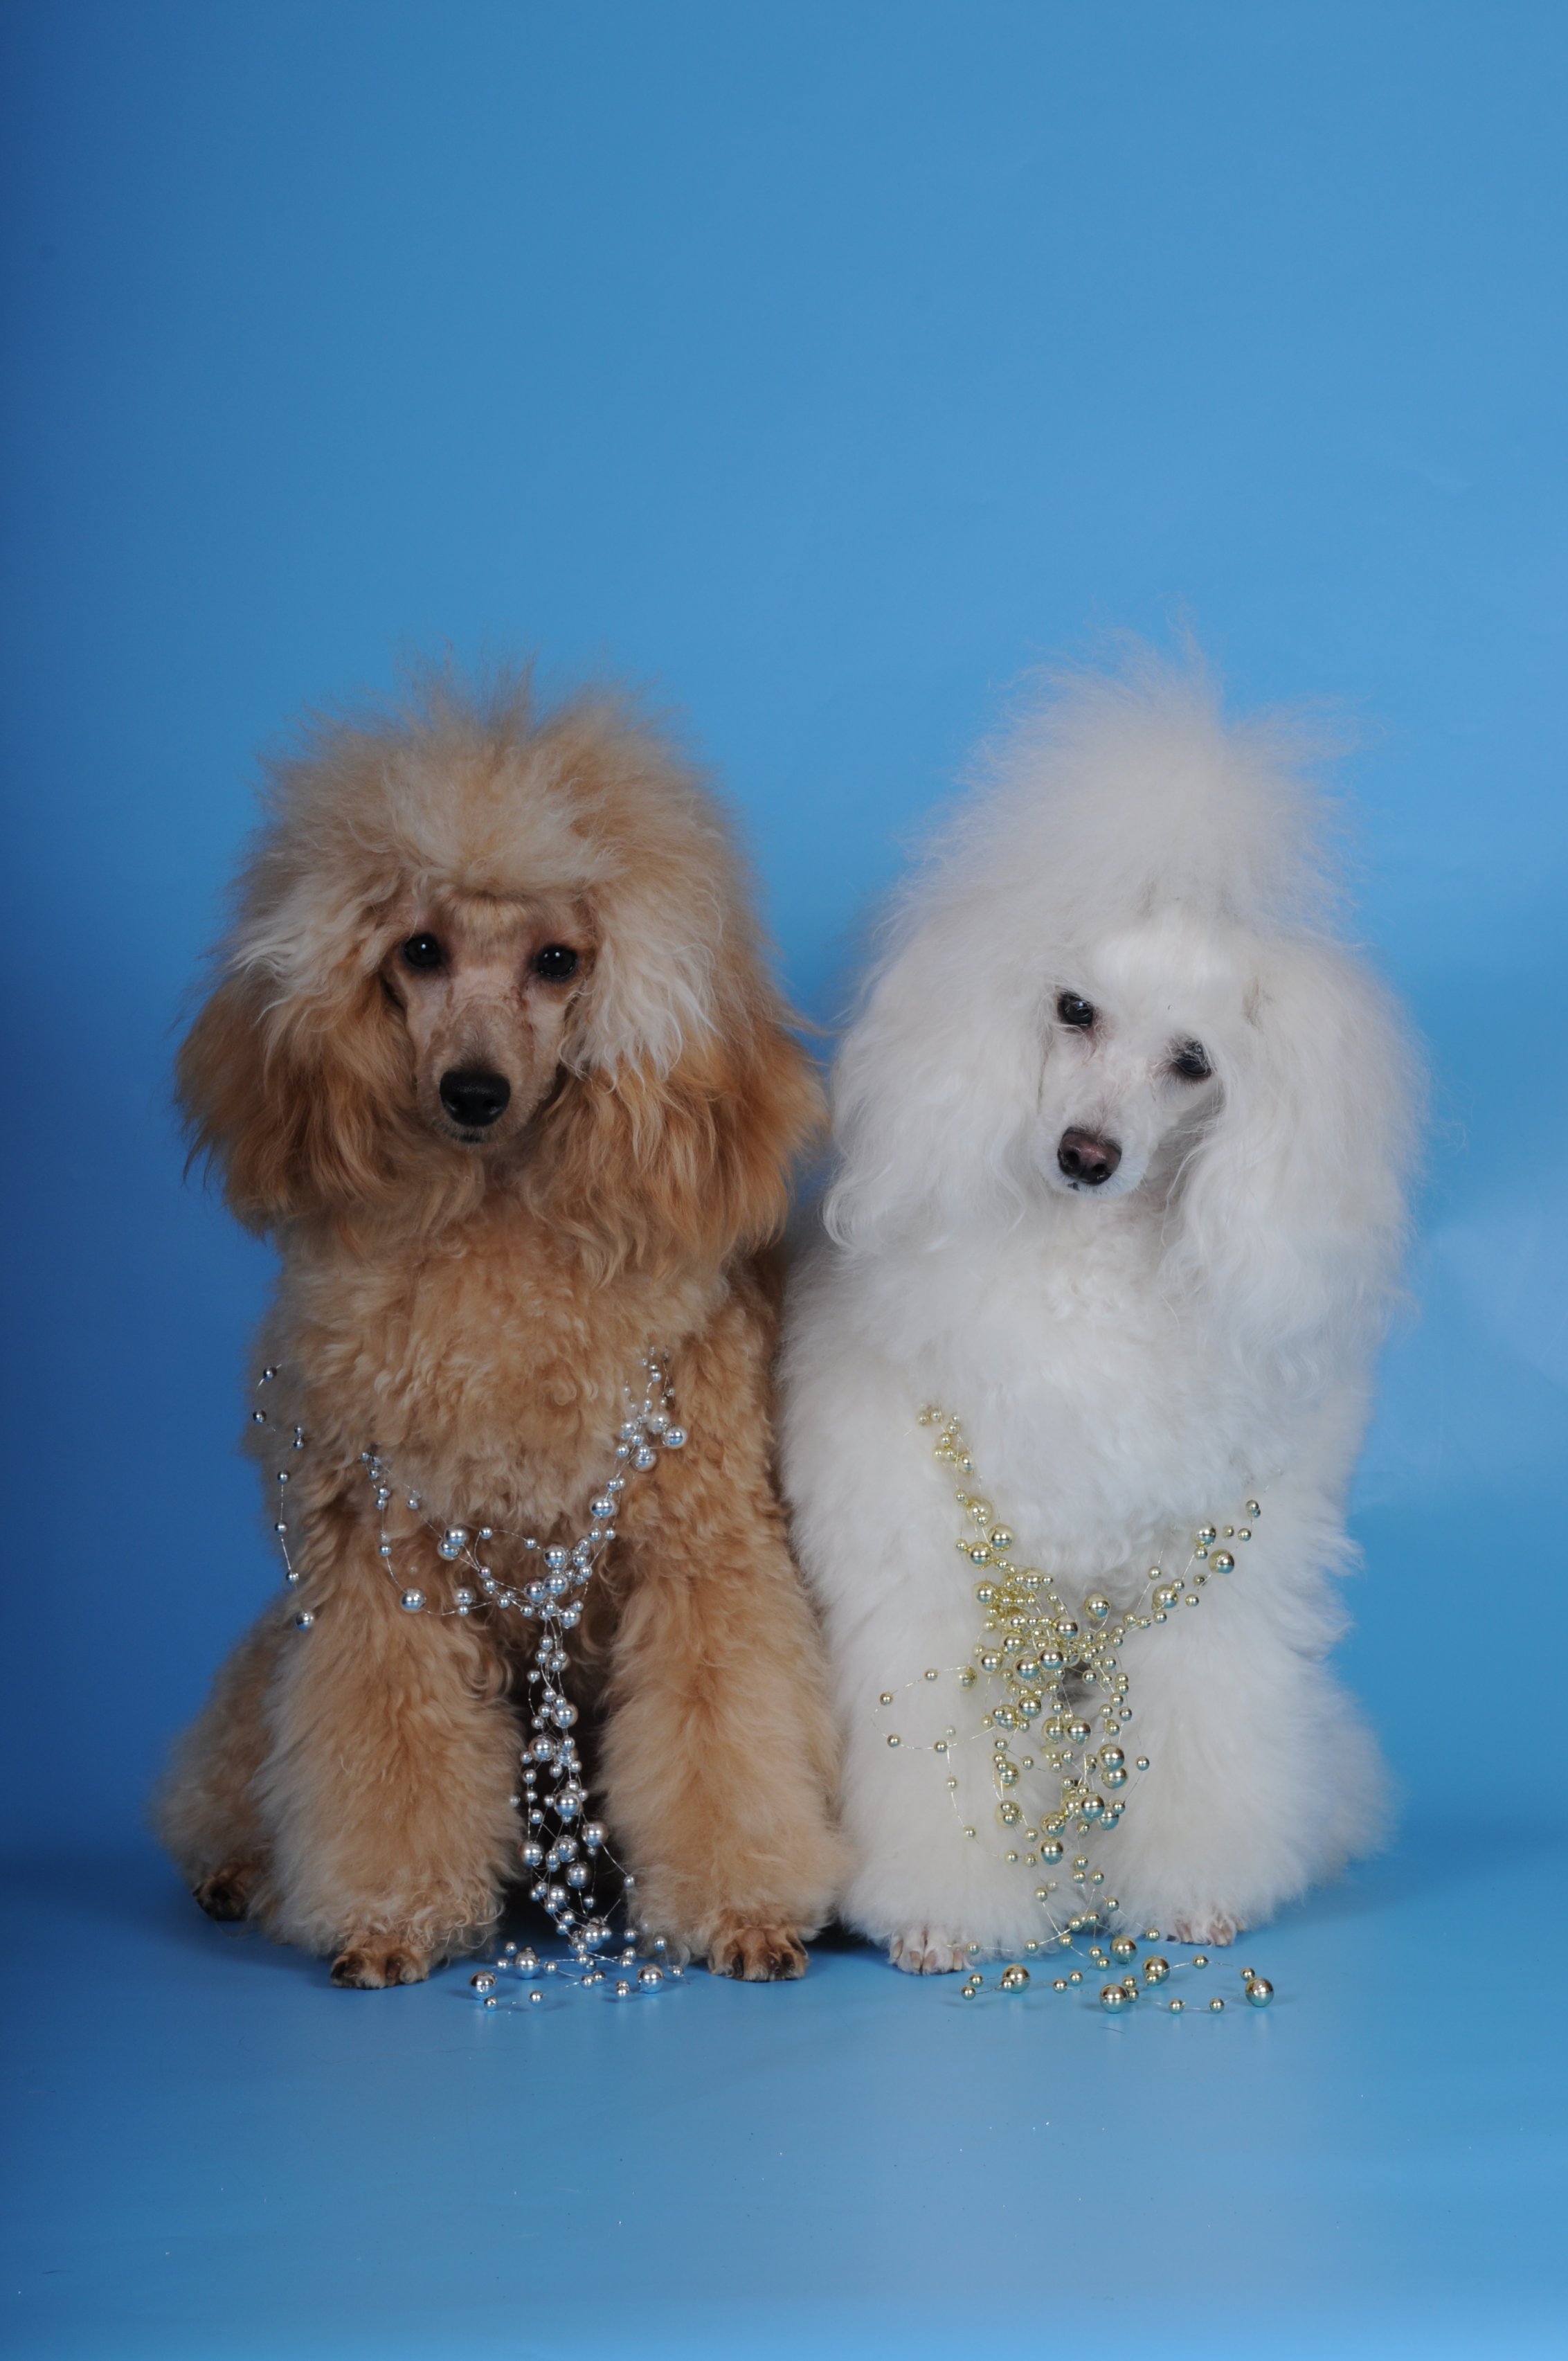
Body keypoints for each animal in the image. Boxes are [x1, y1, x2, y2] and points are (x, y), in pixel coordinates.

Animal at [156, 667, 842, 1985]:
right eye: (419, 951)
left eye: (560, 961)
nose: (472, 1092)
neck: (501, 1224)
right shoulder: (378, 1575)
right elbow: (388, 1747)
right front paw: (385, 1915)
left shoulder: (704, 1554)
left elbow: (724, 1737)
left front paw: (744, 1907)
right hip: (279, 1646)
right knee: (226, 1779)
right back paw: (237, 1869)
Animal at [780, 650, 1417, 1967]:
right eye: (1073, 1010)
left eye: (1195, 1062)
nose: (1085, 1155)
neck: (1086, 1273)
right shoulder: (924, 1580)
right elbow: (937, 1759)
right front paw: (943, 1915)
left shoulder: (1216, 1586)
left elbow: (1208, 1728)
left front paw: (1198, 1892)